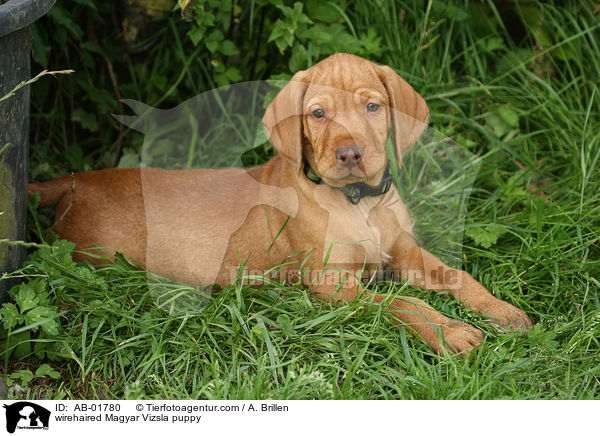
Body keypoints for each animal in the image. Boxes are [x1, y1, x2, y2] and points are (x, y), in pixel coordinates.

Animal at [30, 53, 532, 354]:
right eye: (318, 114)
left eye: (372, 107)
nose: (349, 154)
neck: (360, 202)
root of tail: (75, 180)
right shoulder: (333, 283)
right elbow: (402, 304)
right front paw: (451, 331)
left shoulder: (404, 254)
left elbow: (459, 276)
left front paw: (502, 311)